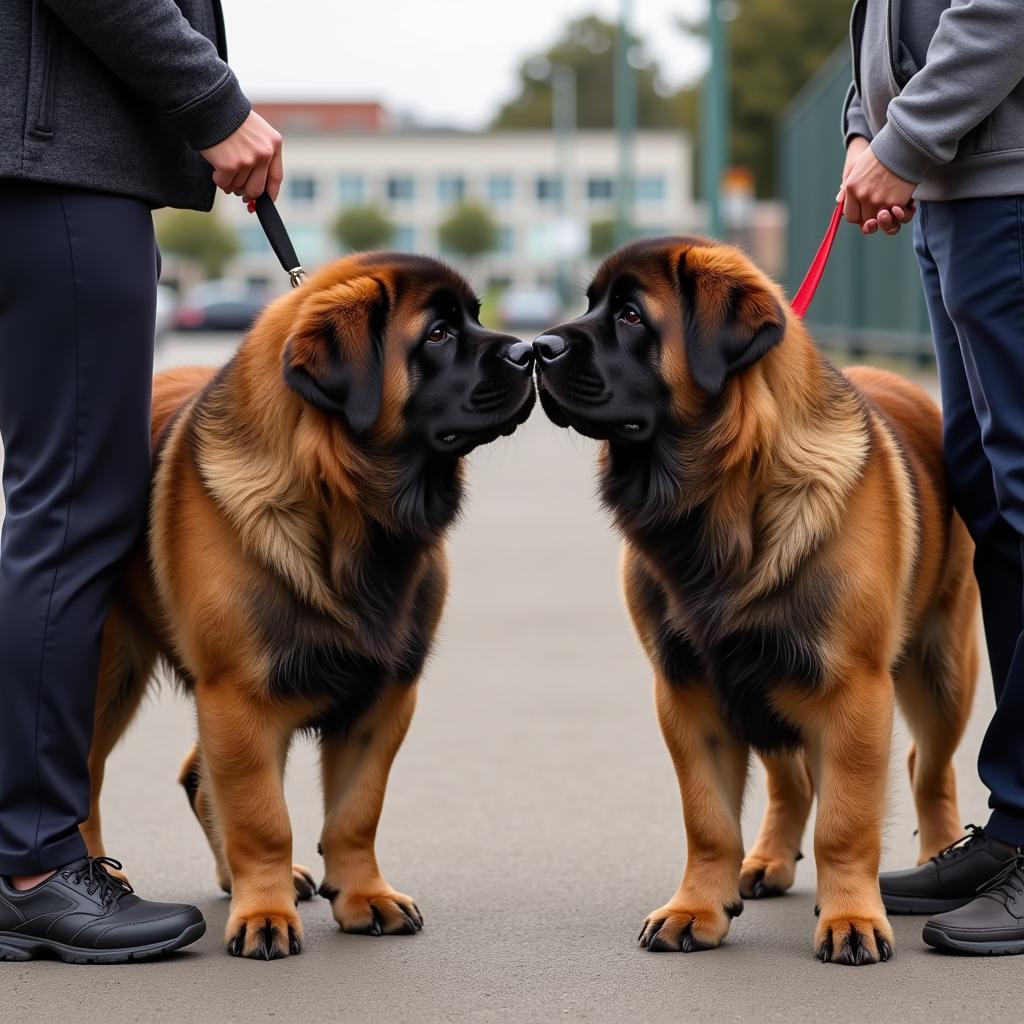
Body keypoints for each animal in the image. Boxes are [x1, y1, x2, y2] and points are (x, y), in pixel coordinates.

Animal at [79, 251, 536, 954]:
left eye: (476, 317)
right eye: (437, 335)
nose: (533, 350)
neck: (346, 510)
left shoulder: (385, 697)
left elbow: (355, 812)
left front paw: (363, 896)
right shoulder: (240, 698)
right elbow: (263, 815)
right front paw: (263, 912)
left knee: (197, 776)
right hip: (108, 673)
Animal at [536, 235, 974, 962]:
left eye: (630, 315)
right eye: (591, 304)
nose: (533, 349)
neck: (721, 499)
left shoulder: (852, 691)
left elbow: (845, 821)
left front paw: (851, 916)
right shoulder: (690, 693)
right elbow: (708, 817)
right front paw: (697, 907)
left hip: (941, 670)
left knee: (927, 768)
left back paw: (941, 858)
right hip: (761, 683)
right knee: (791, 781)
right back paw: (767, 860)